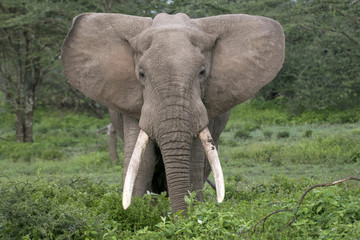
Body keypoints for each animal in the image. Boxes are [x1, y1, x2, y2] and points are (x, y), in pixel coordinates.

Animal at [62, 12, 286, 213]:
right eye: (141, 74)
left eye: (202, 72)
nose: (182, 219)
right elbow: (143, 162)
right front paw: (136, 214)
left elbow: (193, 159)